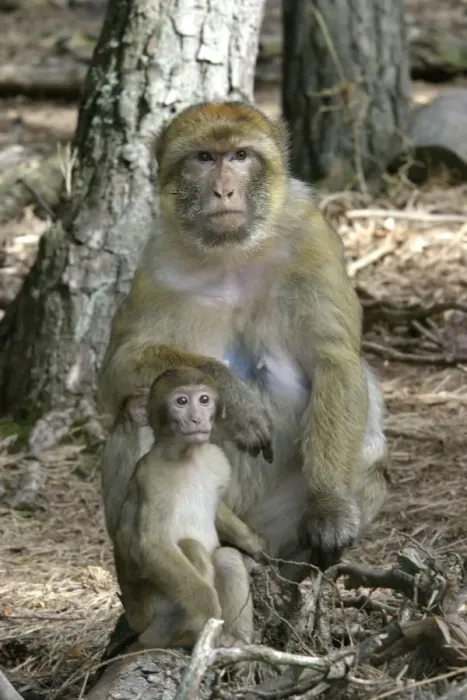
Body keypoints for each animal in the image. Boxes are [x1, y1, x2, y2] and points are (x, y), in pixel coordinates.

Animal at [96, 100, 388, 660]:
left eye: (240, 156)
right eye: (204, 158)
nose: (223, 190)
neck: (232, 252)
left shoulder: (312, 239)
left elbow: (335, 361)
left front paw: (329, 509)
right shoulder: (156, 259)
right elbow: (118, 370)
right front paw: (236, 395)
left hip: (273, 528)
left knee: (369, 458)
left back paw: (294, 579)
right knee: (136, 408)